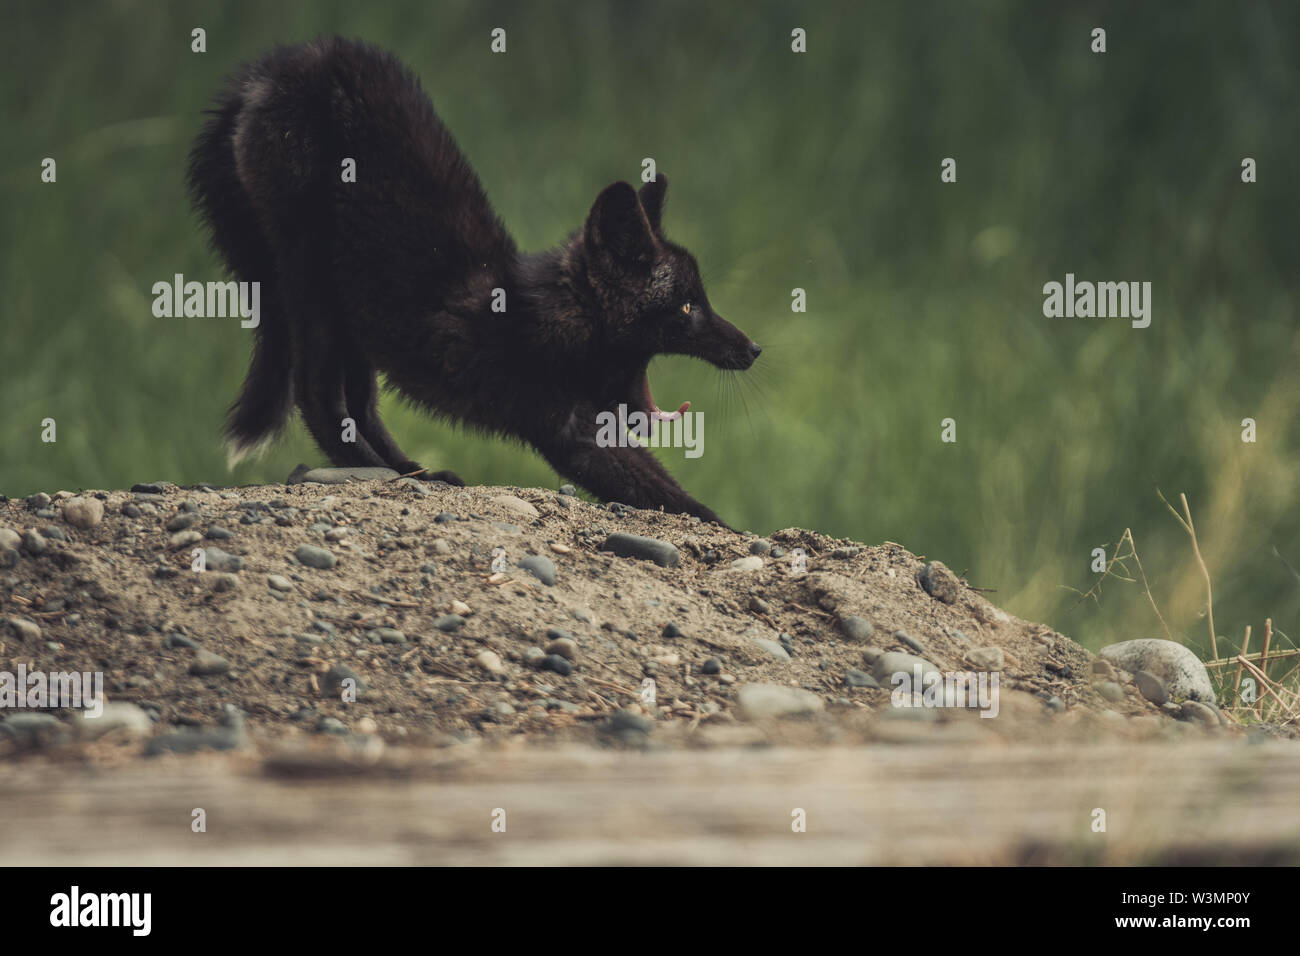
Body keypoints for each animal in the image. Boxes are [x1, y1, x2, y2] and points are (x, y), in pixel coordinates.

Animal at [187, 37, 759, 528]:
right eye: (686, 308)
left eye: (702, 300)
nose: (754, 350)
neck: (556, 319)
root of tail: (287, 60)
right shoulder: (570, 434)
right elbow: (681, 502)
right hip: (310, 281)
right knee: (317, 394)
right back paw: (387, 471)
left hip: (356, 311)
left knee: (360, 408)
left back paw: (413, 473)